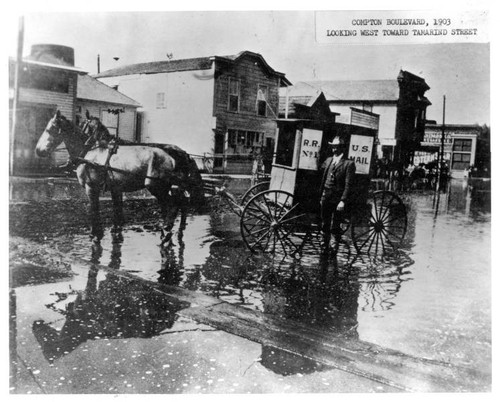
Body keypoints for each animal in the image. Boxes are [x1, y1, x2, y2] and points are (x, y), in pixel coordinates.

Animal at [34, 110, 205, 242]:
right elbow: (117, 212)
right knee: (176, 204)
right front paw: (114, 232)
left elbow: (94, 211)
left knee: (173, 205)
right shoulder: (116, 189)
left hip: (156, 187)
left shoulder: (92, 188)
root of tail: (172, 156)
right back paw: (172, 230)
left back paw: (167, 231)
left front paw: (95, 234)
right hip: (168, 187)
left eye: (50, 129)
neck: (91, 152)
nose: (38, 151)